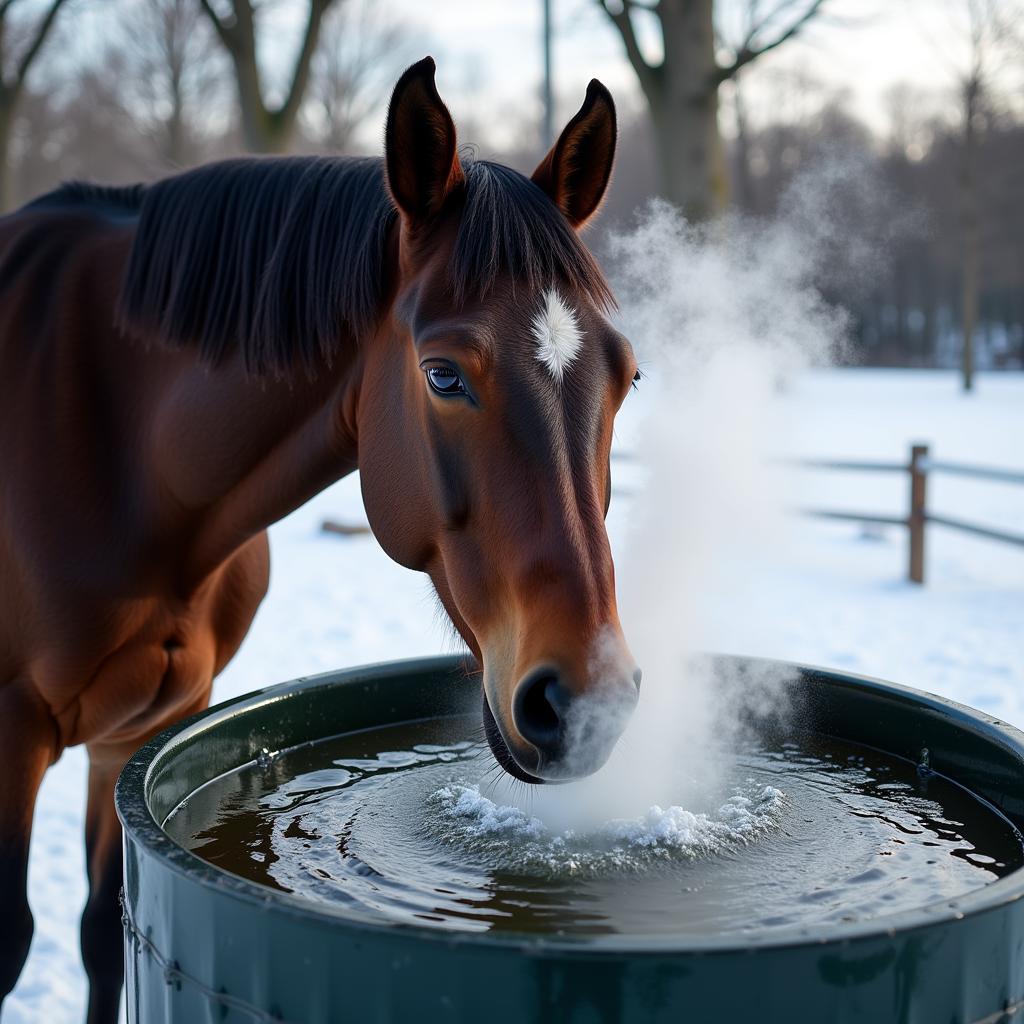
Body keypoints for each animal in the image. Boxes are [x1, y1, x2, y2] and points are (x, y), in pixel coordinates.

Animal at [0, 58, 638, 1024]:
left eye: (627, 372)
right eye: (443, 375)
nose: (585, 703)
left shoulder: (146, 730)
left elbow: (106, 939)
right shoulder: (9, 737)